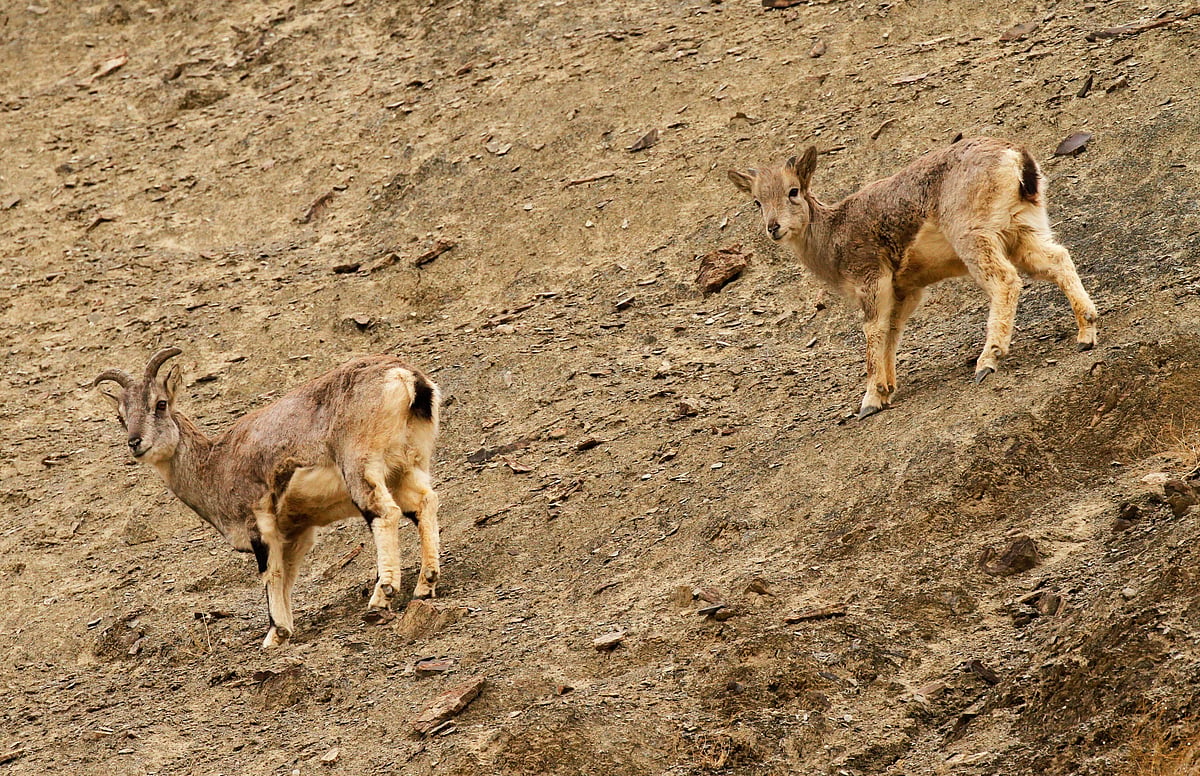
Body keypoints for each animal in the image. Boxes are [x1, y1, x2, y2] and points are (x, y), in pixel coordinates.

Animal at [93, 347, 442, 648]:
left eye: (161, 403)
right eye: (121, 417)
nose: (135, 443)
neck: (215, 465)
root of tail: (405, 377)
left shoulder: (259, 525)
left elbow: (270, 575)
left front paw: (275, 634)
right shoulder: (295, 533)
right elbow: (286, 576)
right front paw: (284, 630)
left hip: (361, 465)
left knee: (385, 512)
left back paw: (381, 597)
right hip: (407, 466)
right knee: (425, 503)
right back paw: (425, 585)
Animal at [728, 137, 1098, 419]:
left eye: (793, 191)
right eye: (757, 201)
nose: (773, 226)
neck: (833, 237)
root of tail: (1017, 159)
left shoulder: (871, 279)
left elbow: (873, 331)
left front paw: (871, 400)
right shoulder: (905, 290)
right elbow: (892, 331)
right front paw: (888, 389)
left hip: (974, 236)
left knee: (1005, 280)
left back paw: (987, 361)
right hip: (1023, 231)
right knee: (1057, 258)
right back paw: (1086, 333)